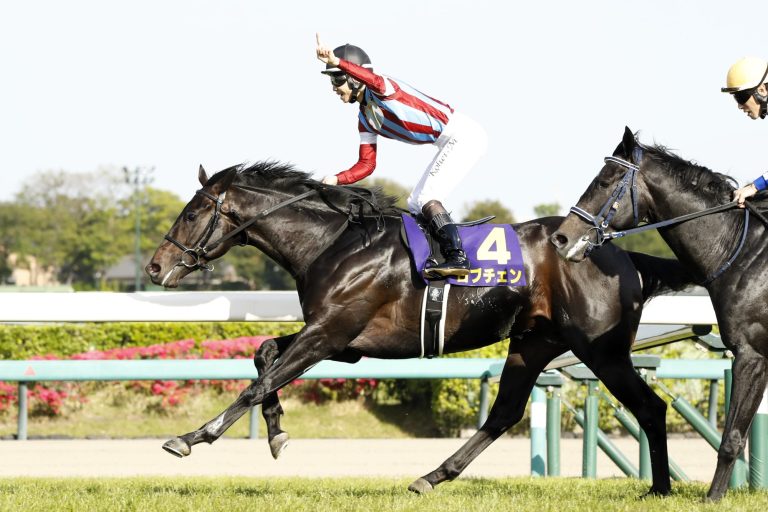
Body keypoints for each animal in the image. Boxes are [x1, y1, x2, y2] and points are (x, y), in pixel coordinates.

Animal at [146, 161, 693, 495]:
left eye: (192, 212)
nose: (154, 267)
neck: (335, 243)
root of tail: (621, 253)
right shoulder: (341, 340)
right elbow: (264, 356)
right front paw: (278, 433)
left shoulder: (329, 333)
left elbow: (258, 383)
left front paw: (194, 437)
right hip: (533, 343)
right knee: (504, 413)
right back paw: (433, 476)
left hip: (603, 351)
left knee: (650, 407)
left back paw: (661, 488)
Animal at [550, 126, 768, 501]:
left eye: (604, 182)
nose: (562, 238)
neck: (744, 254)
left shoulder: (750, 354)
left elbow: (731, 438)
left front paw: (712, 498)